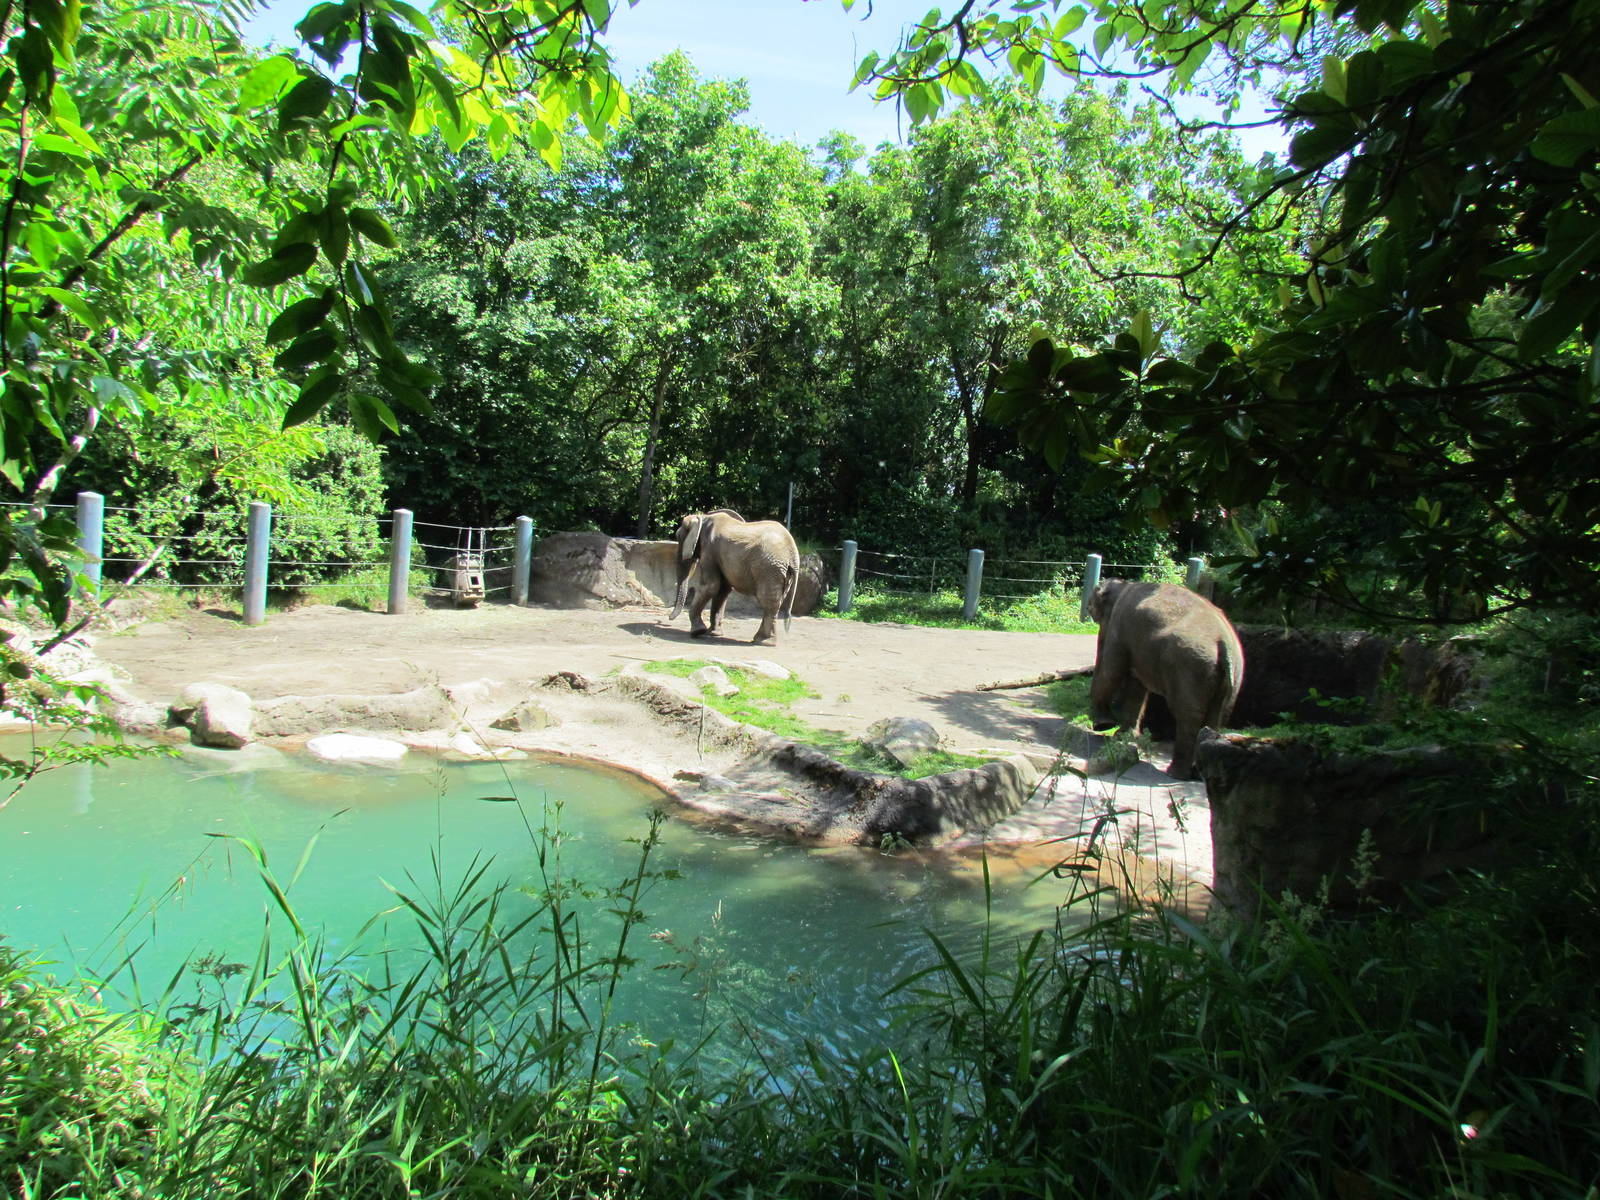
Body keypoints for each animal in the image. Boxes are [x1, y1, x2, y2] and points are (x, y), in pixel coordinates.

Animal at [667, 509, 801, 645]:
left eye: (678, 536)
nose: (669, 618)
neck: (703, 517)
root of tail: (793, 554)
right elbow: (722, 590)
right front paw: (713, 634)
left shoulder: (709, 550)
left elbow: (710, 586)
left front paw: (697, 632)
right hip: (781, 572)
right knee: (775, 602)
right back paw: (760, 640)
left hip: (769, 568)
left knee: (767, 601)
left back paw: (762, 642)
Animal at [1087, 578, 1245, 780]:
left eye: (1094, 614)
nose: (1099, 725)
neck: (1124, 585)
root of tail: (1224, 643)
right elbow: (1136, 685)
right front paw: (1123, 736)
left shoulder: (1119, 624)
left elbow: (1112, 670)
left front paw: (1105, 726)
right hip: (1231, 677)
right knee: (1215, 717)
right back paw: (1197, 773)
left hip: (1190, 669)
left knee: (1187, 715)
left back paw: (1175, 774)